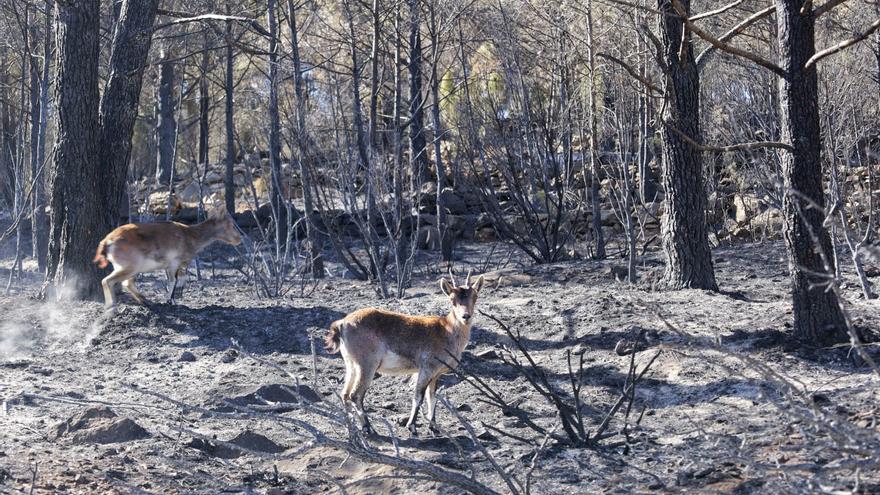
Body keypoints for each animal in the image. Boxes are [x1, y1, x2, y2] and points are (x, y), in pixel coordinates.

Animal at [93, 207, 242, 308]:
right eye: (230, 224)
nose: (239, 239)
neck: (191, 237)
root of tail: (106, 242)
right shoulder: (174, 262)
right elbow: (172, 280)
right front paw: (170, 300)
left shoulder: (170, 265)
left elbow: (179, 278)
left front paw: (176, 297)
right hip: (131, 265)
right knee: (108, 280)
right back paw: (111, 306)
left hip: (128, 266)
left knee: (126, 283)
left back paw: (146, 301)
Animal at [324, 270, 488, 436]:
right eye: (452, 299)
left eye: (474, 297)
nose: (465, 316)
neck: (446, 330)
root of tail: (342, 324)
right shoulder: (427, 369)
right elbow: (419, 396)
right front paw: (412, 427)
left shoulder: (436, 374)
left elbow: (432, 397)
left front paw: (434, 428)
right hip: (367, 364)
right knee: (355, 395)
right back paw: (368, 428)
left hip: (352, 364)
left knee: (345, 394)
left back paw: (351, 427)